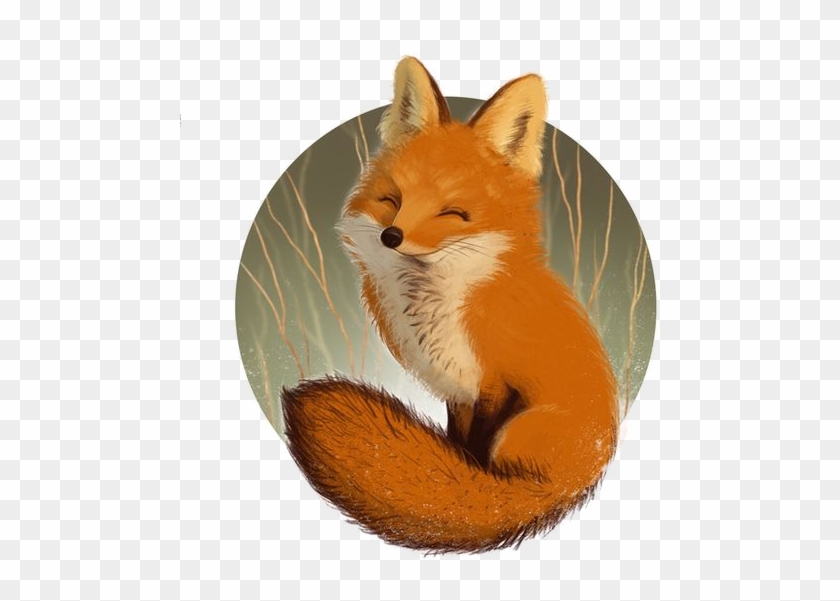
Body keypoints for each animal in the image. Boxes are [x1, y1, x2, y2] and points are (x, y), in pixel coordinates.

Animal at [281, 57, 619, 553]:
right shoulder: (458, 388)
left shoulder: (495, 382)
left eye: (453, 213)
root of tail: (584, 477)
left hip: (522, 431)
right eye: (393, 200)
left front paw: (466, 489)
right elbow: (457, 445)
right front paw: (453, 470)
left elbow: (475, 458)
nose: (392, 236)